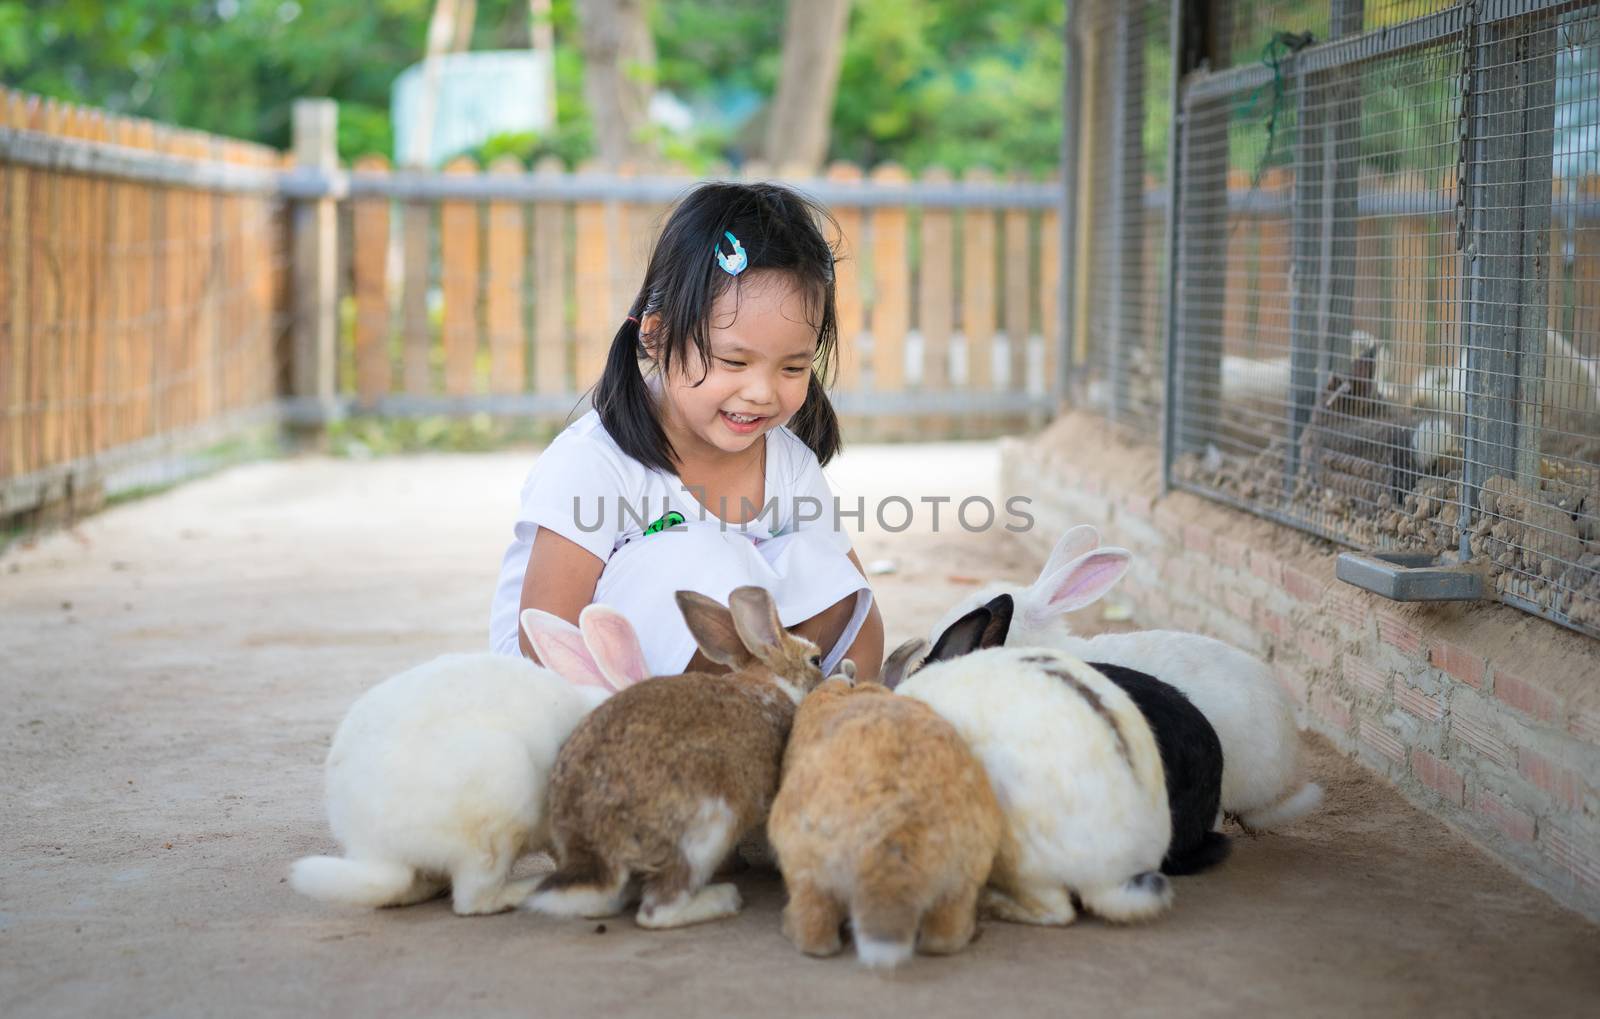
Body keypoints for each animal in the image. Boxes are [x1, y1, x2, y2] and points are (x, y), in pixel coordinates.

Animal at [524, 585, 825, 927]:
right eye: (816, 659)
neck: (771, 682)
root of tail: (595, 846)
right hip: (708, 830)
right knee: (658, 909)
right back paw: (722, 898)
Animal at [761, 655, 998, 966]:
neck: (847, 692)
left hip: (805, 866)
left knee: (816, 932)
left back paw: (790, 927)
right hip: (962, 879)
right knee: (944, 936)